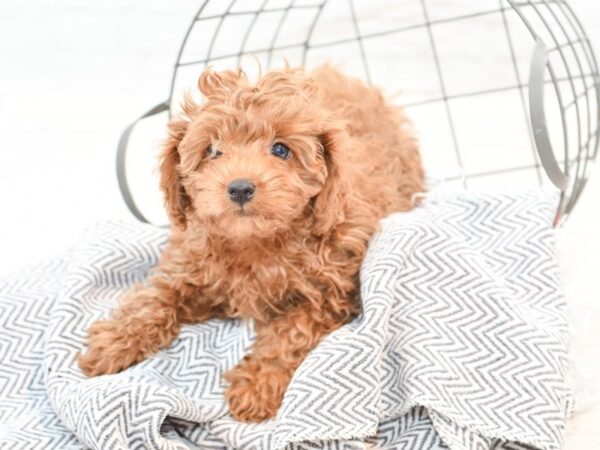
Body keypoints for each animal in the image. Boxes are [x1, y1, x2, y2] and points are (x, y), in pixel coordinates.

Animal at [79, 65, 424, 424]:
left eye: (281, 150)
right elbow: (157, 297)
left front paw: (257, 386)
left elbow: (290, 334)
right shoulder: (190, 262)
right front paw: (114, 341)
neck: (256, 242)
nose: (240, 187)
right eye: (212, 150)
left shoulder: (329, 294)